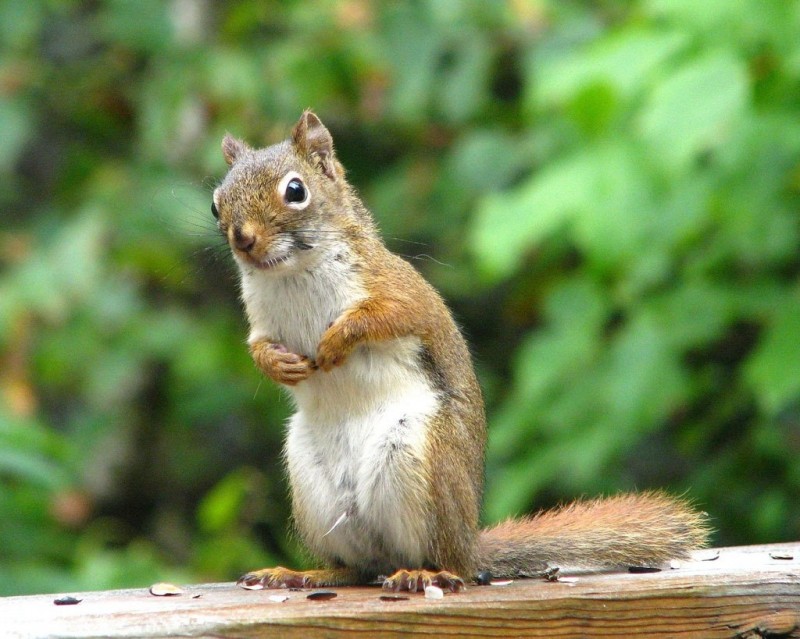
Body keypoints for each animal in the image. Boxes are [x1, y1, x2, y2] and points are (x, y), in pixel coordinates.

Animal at [209, 110, 708, 596]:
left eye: (296, 191)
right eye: (216, 203)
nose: (242, 239)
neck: (290, 275)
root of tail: (469, 543)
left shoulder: (399, 291)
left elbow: (383, 317)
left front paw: (335, 342)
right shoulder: (262, 324)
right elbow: (257, 348)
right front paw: (278, 364)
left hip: (422, 461)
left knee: (446, 564)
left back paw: (425, 574)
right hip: (312, 486)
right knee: (359, 568)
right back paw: (307, 574)